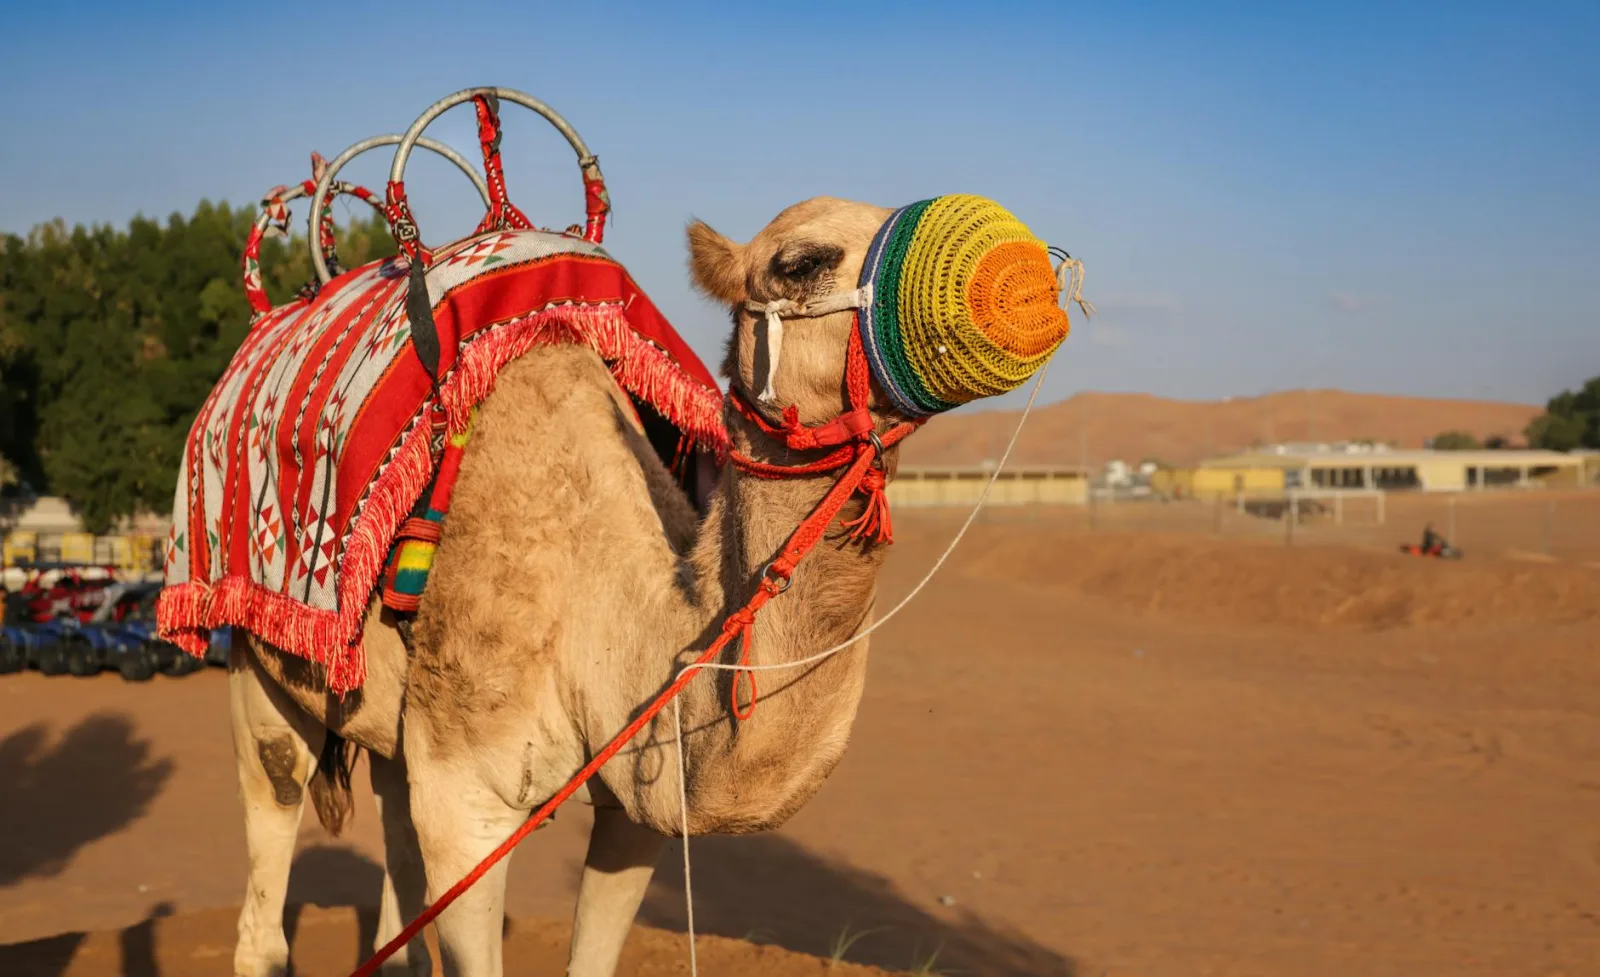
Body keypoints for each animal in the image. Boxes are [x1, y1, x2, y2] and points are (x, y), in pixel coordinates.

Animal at [225, 194, 1063, 977]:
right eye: (801, 262)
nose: (1026, 271)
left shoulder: (639, 797)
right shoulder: (466, 801)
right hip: (257, 665)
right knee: (274, 825)